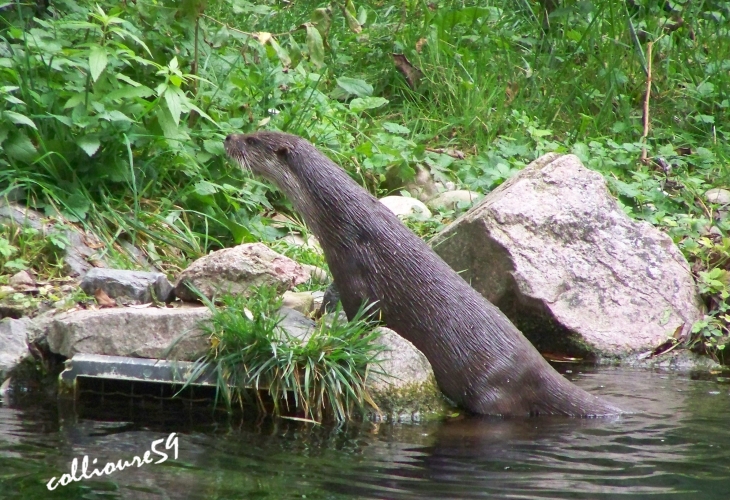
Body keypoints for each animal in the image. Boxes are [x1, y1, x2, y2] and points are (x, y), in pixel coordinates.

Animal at [223, 131, 620, 416]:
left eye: (253, 139)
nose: (229, 137)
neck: (342, 224)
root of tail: (539, 368)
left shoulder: (357, 274)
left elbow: (363, 317)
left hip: (493, 387)